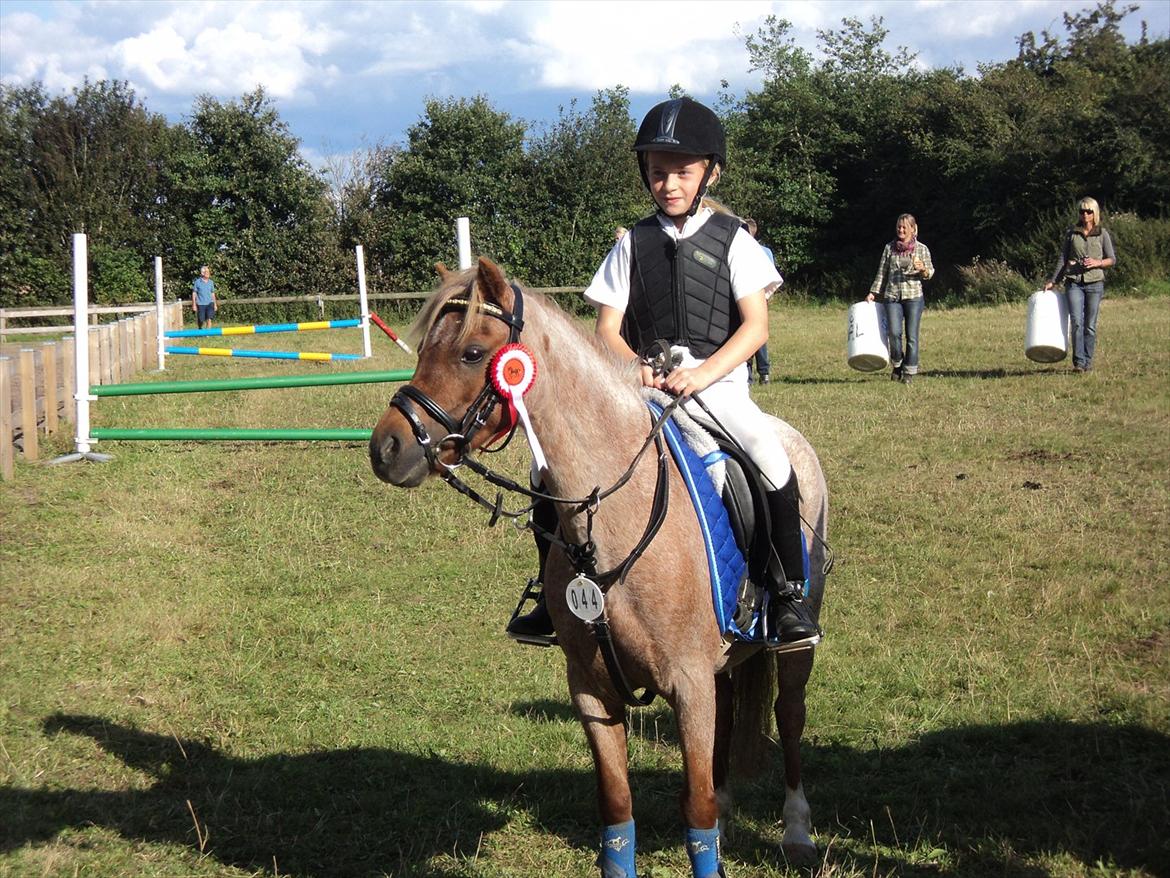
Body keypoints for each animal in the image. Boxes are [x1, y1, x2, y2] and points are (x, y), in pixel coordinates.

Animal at [368, 258, 828, 877]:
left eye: (471, 353)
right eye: (422, 350)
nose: (387, 449)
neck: (613, 517)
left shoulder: (687, 684)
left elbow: (696, 808)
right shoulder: (591, 690)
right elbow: (617, 807)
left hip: (793, 646)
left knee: (791, 717)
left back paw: (798, 832)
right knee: (732, 714)